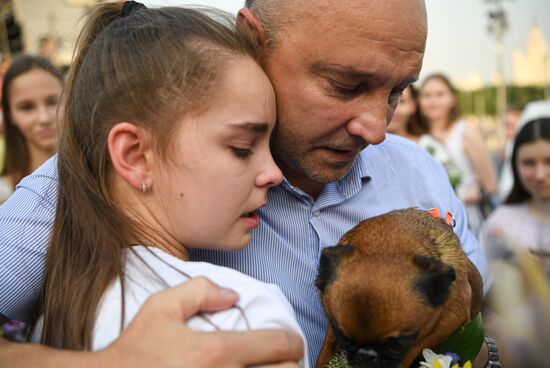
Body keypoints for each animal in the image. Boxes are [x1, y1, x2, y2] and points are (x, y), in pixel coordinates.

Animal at [316, 208, 486, 366]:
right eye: (343, 338)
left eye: (397, 346)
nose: (366, 355)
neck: (384, 251)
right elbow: (326, 350)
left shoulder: (448, 321)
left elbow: (411, 351)